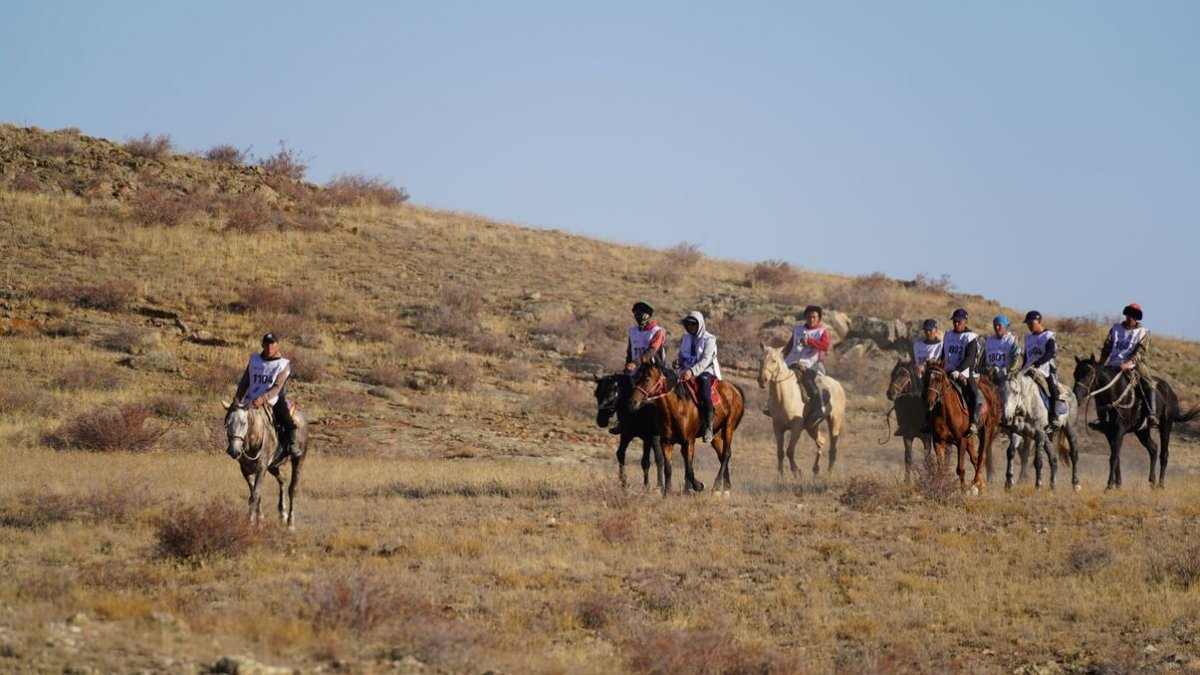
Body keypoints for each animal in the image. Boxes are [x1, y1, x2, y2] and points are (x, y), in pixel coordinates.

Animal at [220, 396, 307, 528]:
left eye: (243, 423)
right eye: (227, 423)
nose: (233, 451)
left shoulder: (261, 467)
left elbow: (255, 494)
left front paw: (250, 523)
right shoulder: (245, 469)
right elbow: (255, 494)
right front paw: (260, 520)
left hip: (298, 459)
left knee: (293, 489)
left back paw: (290, 523)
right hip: (273, 466)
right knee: (283, 480)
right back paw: (283, 514)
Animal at [628, 360, 739, 492]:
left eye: (647, 379)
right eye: (636, 378)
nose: (632, 402)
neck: (676, 408)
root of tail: (734, 390)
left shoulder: (689, 442)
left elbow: (689, 470)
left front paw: (699, 486)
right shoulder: (666, 442)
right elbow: (668, 469)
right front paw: (667, 492)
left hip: (728, 426)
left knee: (726, 453)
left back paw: (717, 484)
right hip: (715, 434)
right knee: (721, 455)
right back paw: (725, 486)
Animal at [753, 341, 849, 478]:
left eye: (774, 361)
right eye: (760, 360)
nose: (762, 380)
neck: (784, 396)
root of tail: (838, 385)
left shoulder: (796, 428)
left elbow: (790, 451)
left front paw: (796, 472)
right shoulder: (778, 428)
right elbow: (780, 452)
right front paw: (780, 476)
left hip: (835, 421)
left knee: (833, 448)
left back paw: (829, 473)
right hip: (812, 426)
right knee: (821, 441)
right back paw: (816, 469)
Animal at [916, 357, 1003, 494]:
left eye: (939, 379)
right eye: (925, 378)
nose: (928, 403)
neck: (945, 412)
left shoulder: (961, 440)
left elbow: (960, 468)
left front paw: (964, 491)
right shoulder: (938, 440)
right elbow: (941, 468)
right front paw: (940, 488)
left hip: (986, 431)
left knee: (981, 456)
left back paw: (976, 484)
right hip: (970, 437)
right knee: (974, 456)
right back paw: (980, 485)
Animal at [1075, 353, 1195, 487]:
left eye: (1089, 373)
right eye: (1075, 374)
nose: (1076, 396)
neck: (1115, 393)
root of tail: (1171, 393)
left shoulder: (1119, 430)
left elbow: (1114, 457)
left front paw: (1110, 485)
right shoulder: (1108, 432)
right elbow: (1116, 456)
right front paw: (1118, 484)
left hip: (1166, 426)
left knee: (1164, 454)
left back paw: (1161, 484)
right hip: (1142, 431)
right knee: (1153, 449)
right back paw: (1152, 481)